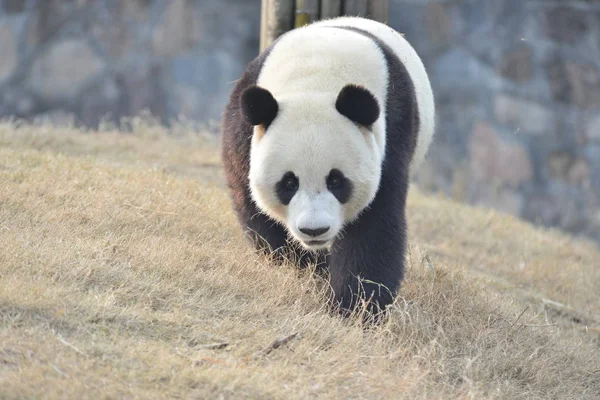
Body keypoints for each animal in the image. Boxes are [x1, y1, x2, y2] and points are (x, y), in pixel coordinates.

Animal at [220, 16, 436, 316]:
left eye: (336, 181)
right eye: (289, 183)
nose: (314, 231)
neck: (316, 80)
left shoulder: (391, 135)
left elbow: (374, 225)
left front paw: (355, 306)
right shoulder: (245, 129)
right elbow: (253, 203)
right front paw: (306, 266)